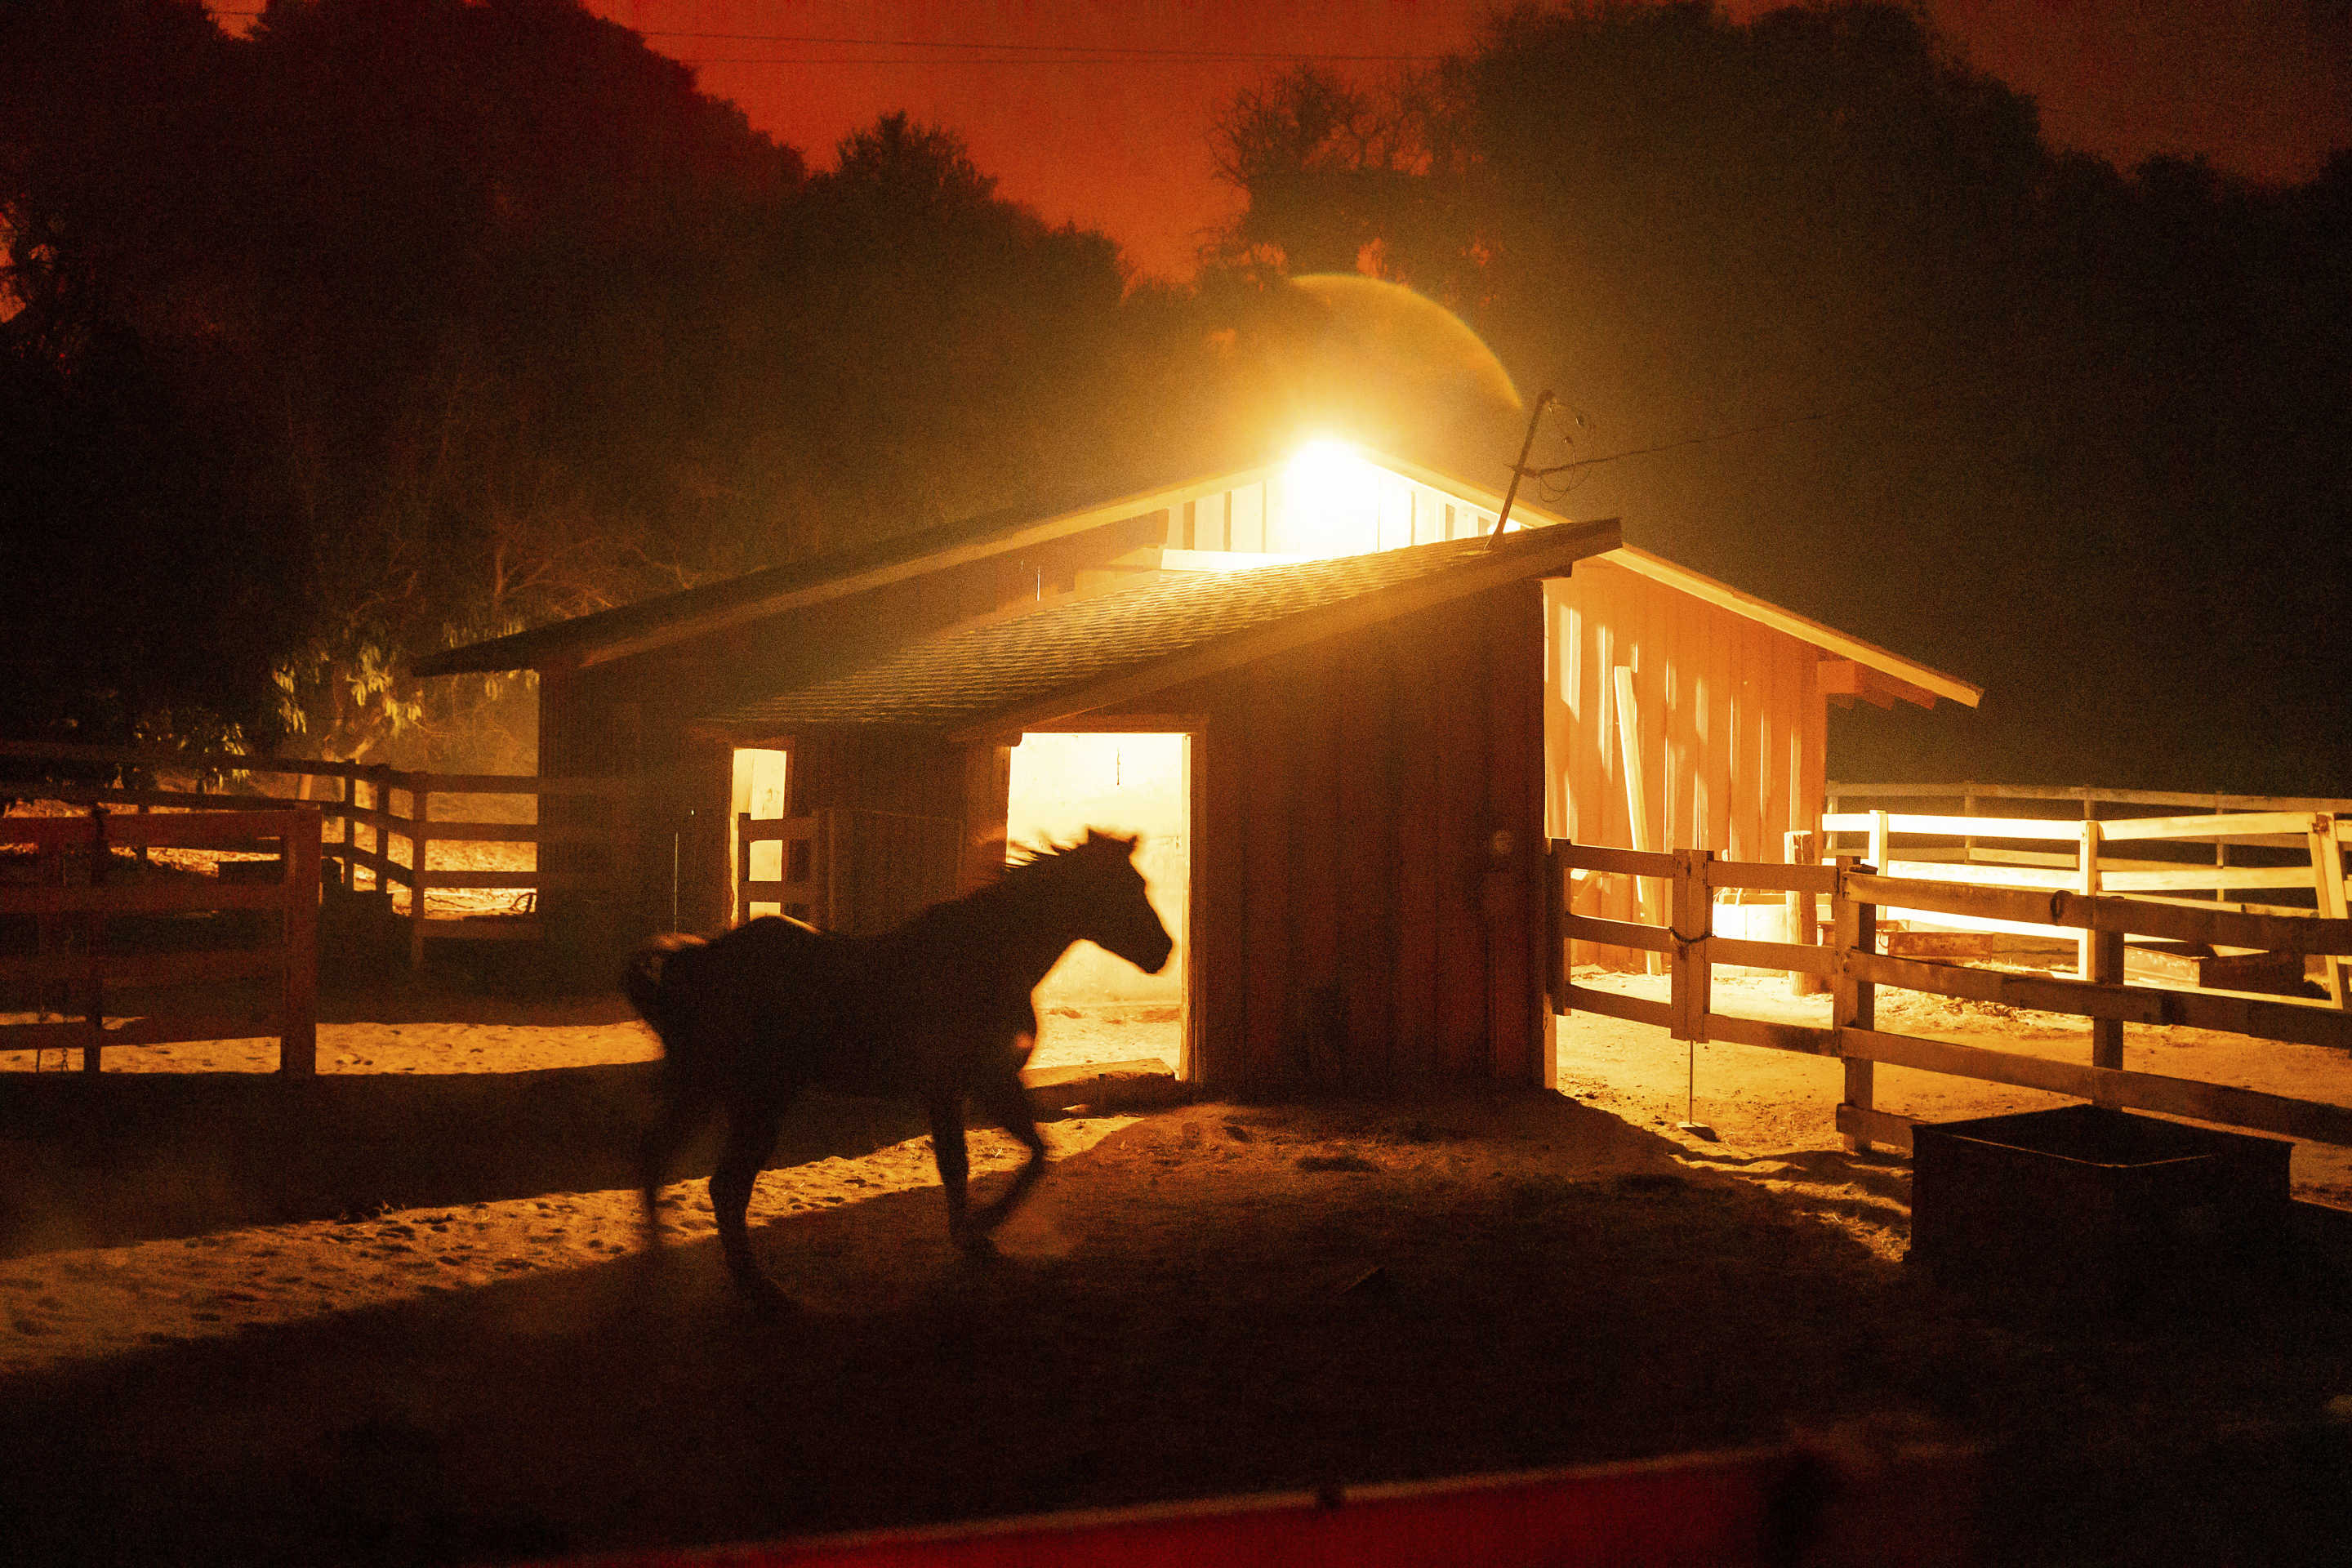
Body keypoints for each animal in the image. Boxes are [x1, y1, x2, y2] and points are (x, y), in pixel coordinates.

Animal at [626, 827, 1176, 1307]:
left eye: (1142, 884)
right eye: (1122, 888)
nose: (1164, 953)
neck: (986, 961)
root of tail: (696, 959)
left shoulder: (987, 1084)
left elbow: (1030, 1154)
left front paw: (978, 1234)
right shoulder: (963, 1087)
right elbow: (969, 1164)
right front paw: (979, 1230)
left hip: (703, 1089)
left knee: (655, 1156)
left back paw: (659, 1265)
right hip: (759, 1099)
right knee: (725, 1188)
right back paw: (763, 1293)